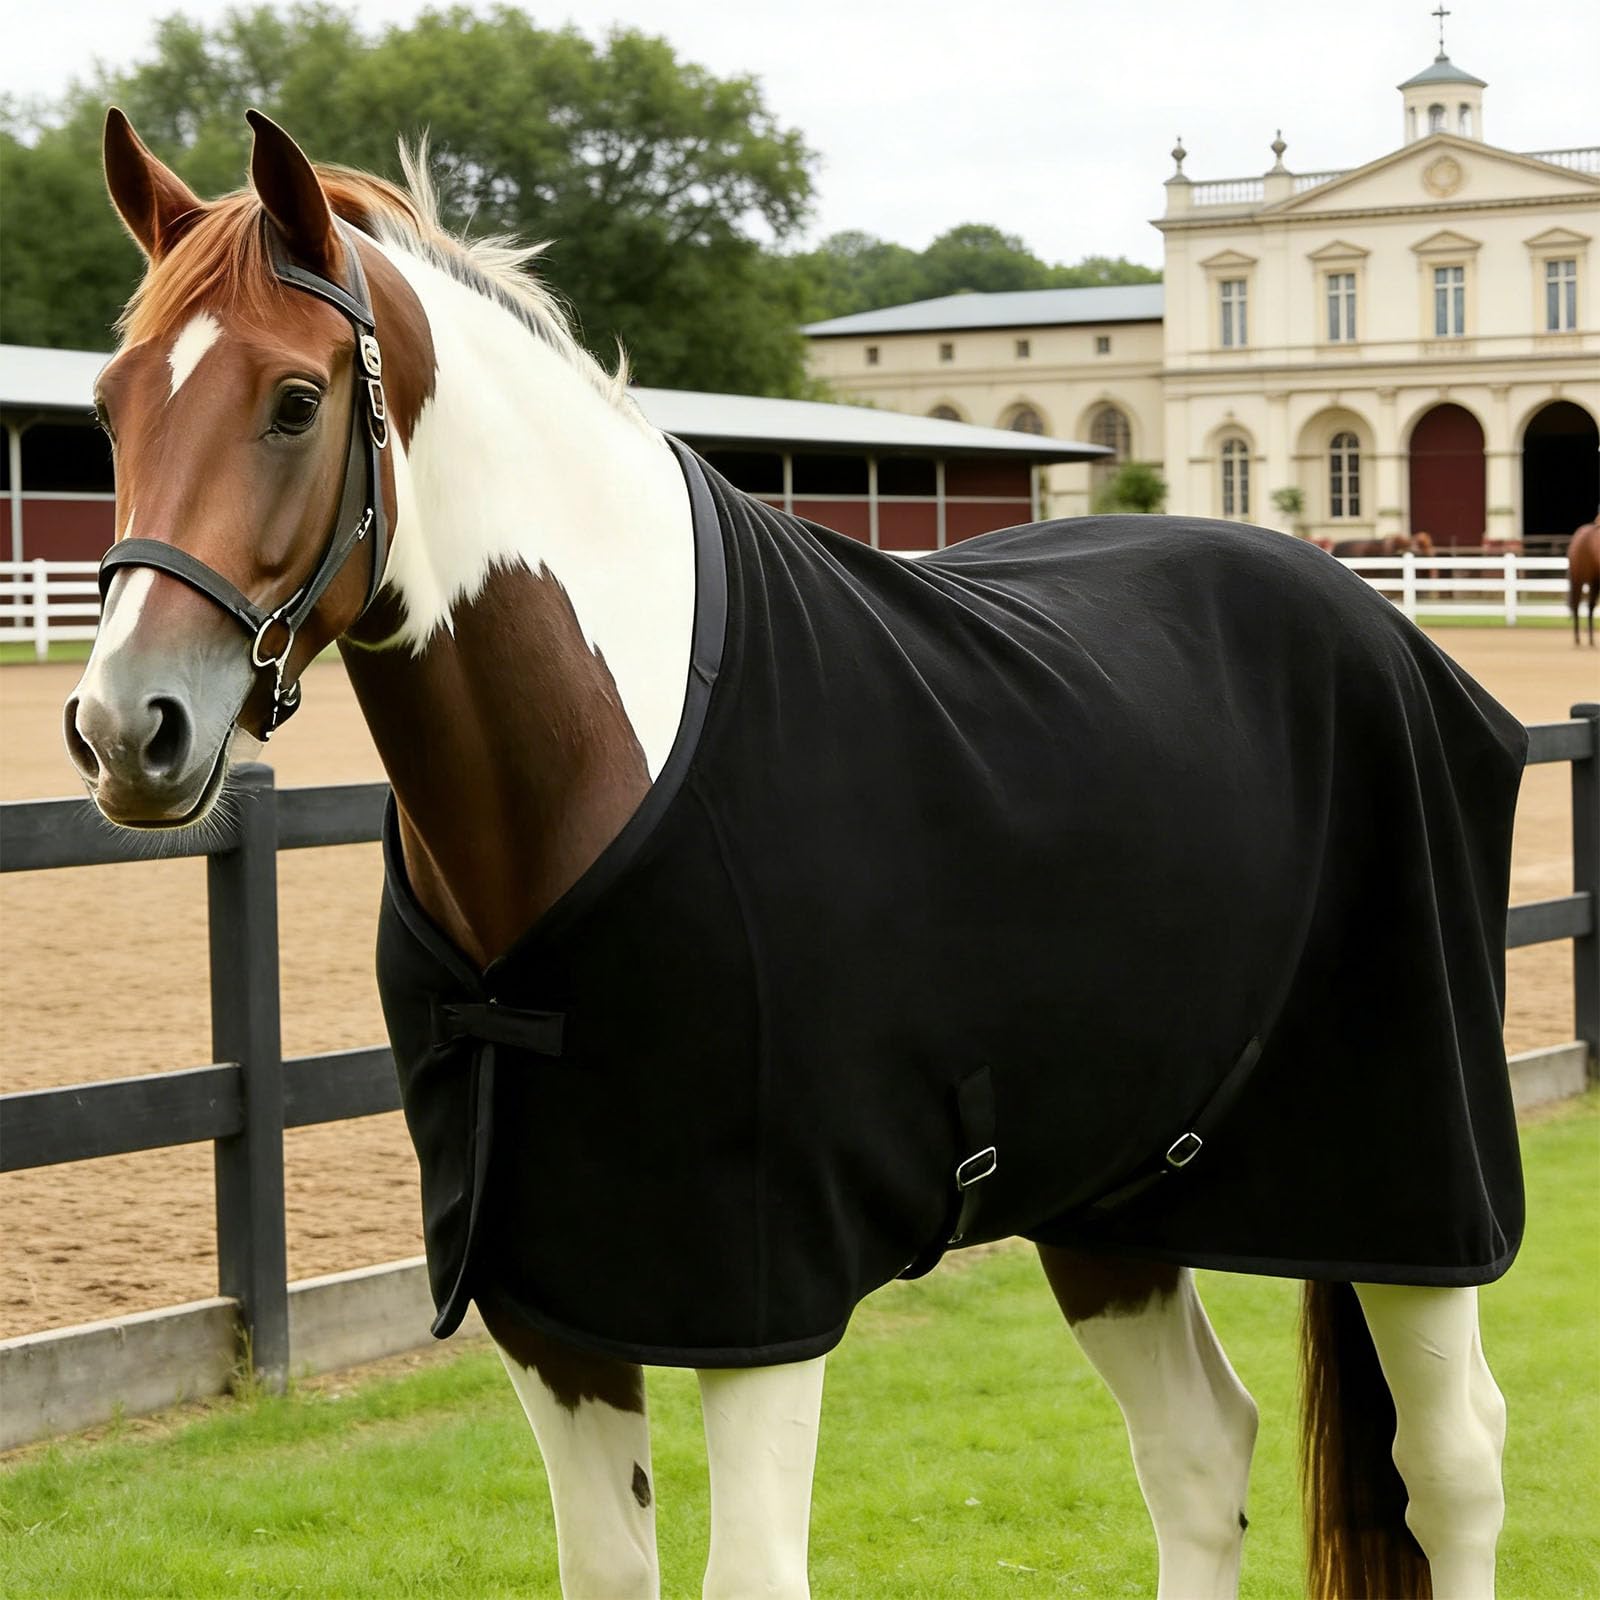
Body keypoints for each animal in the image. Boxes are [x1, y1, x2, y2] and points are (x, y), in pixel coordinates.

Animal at [68, 110, 1527, 1600]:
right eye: (110, 408)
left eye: (297, 400)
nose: (127, 727)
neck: (610, 755)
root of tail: (1379, 623)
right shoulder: (546, 1307)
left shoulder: (762, 1300)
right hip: (1109, 1202)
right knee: (1199, 1452)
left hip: (1411, 1195)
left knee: (1452, 1462)